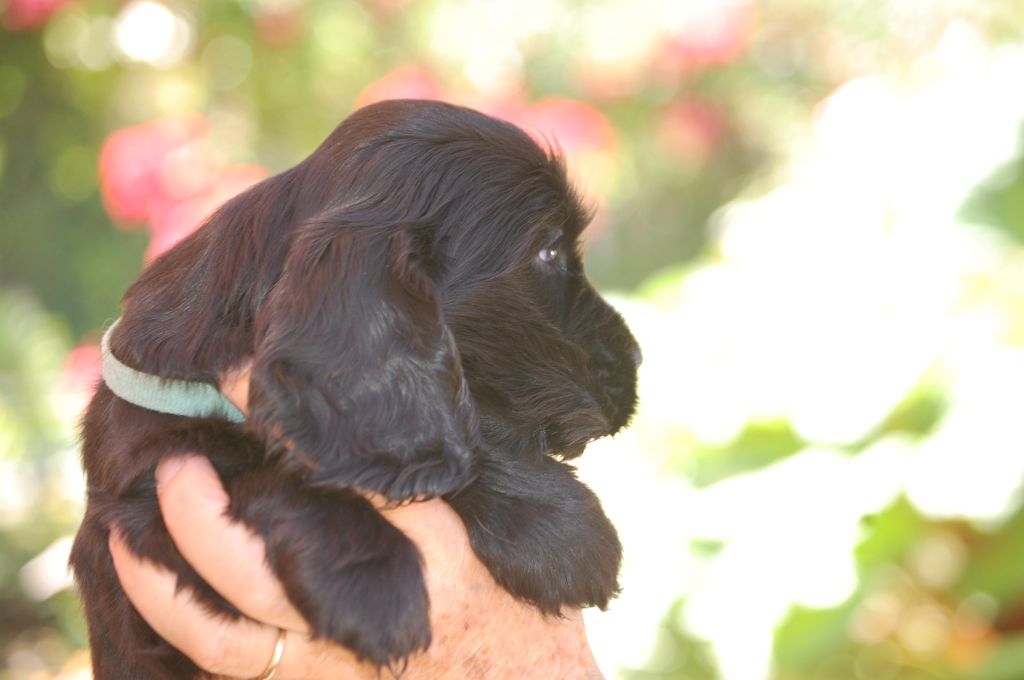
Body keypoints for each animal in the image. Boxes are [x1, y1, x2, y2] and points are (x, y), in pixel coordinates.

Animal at [70, 98, 638, 675]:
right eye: (549, 253)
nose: (636, 358)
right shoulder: (142, 490)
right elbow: (276, 469)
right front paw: (376, 588)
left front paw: (556, 526)